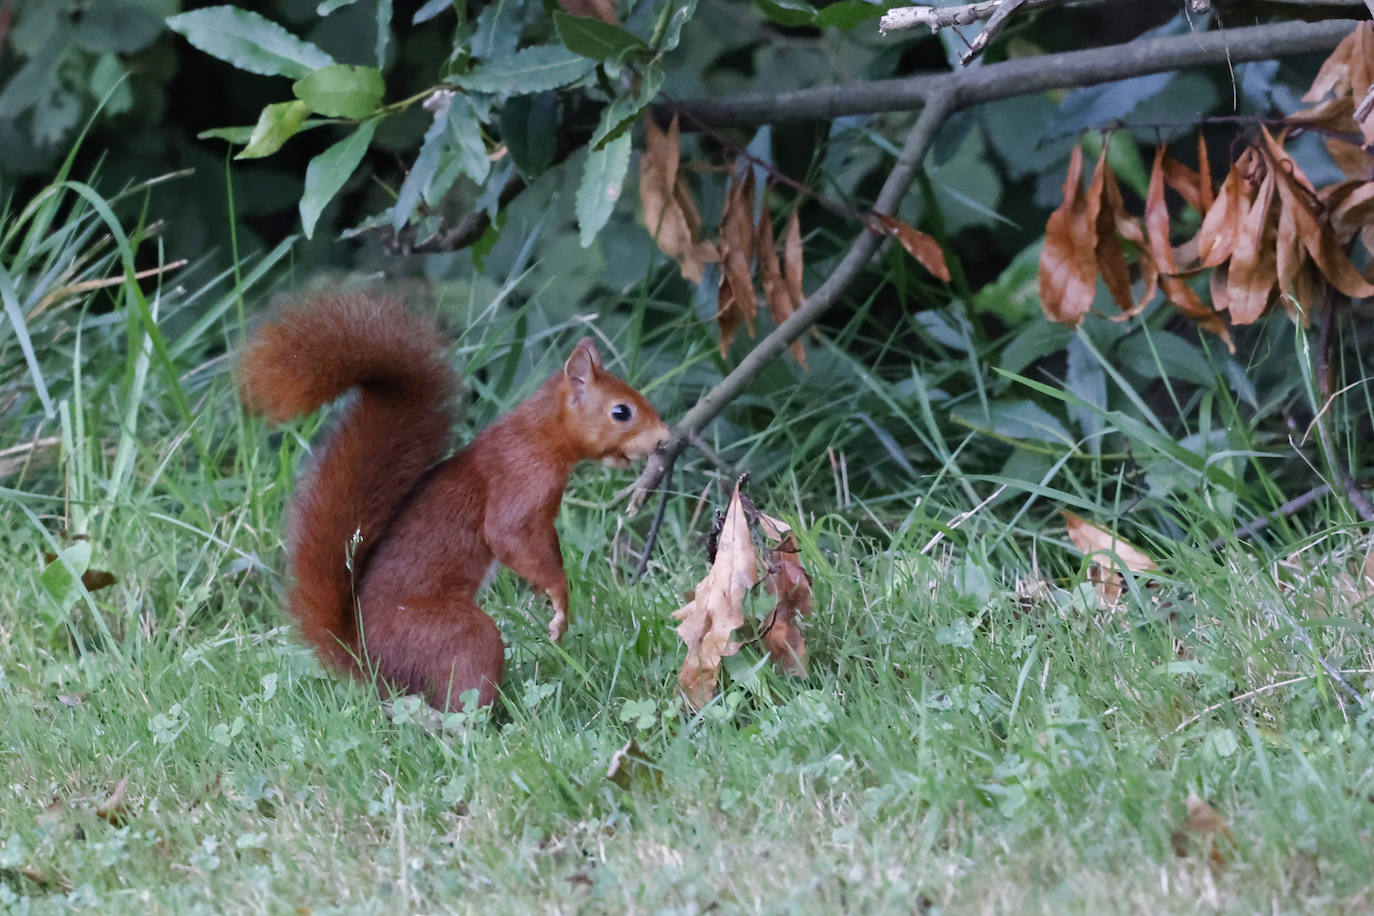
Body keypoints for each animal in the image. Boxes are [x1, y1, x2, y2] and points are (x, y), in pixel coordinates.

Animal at [237, 292, 670, 708]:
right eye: (621, 411)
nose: (666, 438)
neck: (539, 434)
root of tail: (368, 662)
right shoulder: (518, 483)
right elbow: (510, 538)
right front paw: (559, 599)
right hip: (460, 636)